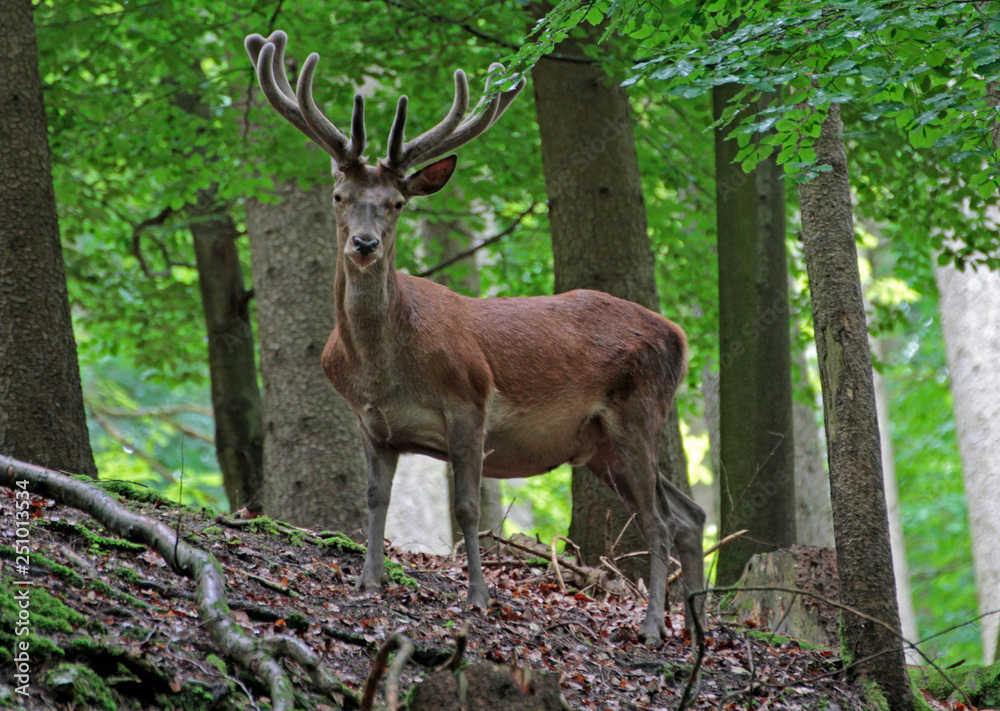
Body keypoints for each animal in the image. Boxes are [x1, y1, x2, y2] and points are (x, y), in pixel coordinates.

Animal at [244, 30, 706, 645]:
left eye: (397, 203)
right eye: (340, 195)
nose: (364, 244)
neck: (381, 368)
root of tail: (678, 335)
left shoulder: (469, 401)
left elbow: (466, 508)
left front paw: (479, 597)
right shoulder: (372, 421)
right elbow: (375, 497)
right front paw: (369, 580)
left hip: (639, 410)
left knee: (658, 521)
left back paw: (655, 626)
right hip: (600, 444)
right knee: (688, 514)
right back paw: (701, 629)